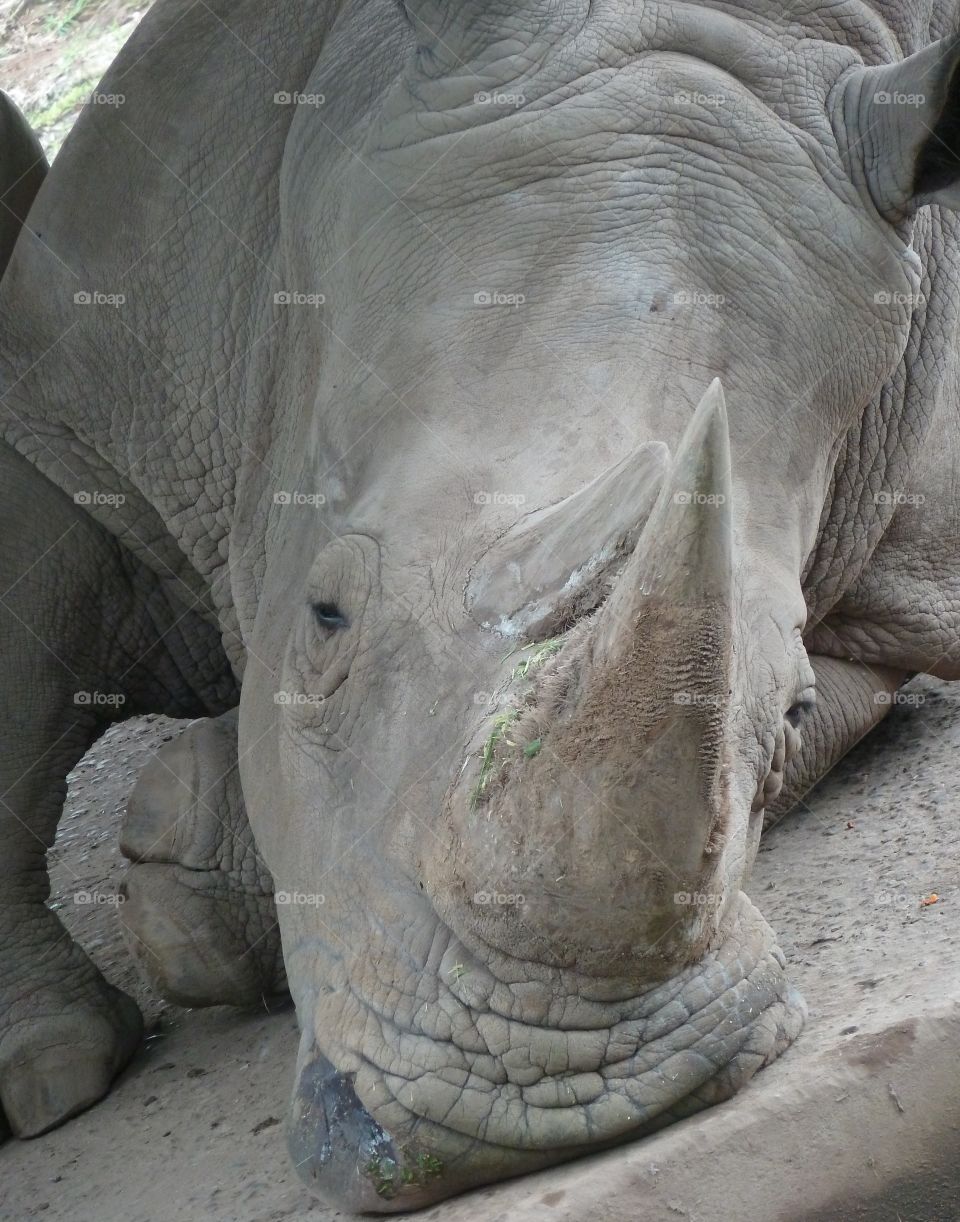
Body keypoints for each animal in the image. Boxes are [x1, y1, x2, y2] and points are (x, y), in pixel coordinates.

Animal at [2, 0, 960, 1210]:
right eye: (325, 615)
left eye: (787, 710)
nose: (537, 1102)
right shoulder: (62, 401)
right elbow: (21, 667)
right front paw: (44, 1075)